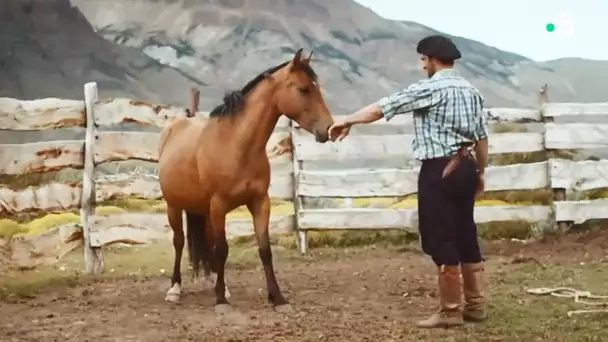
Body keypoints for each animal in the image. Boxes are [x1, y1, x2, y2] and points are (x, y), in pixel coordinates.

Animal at [157, 48, 332, 312]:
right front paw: (221, 301)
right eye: (303, 89)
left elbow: (264, 250)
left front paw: (277, 298)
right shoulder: (218, 205)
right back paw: (175, 289)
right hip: (174, 207)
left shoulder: (259, 202)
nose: (328, 128)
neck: (237, 145)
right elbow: (222, 249)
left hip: (203, 211)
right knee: (179, 242)